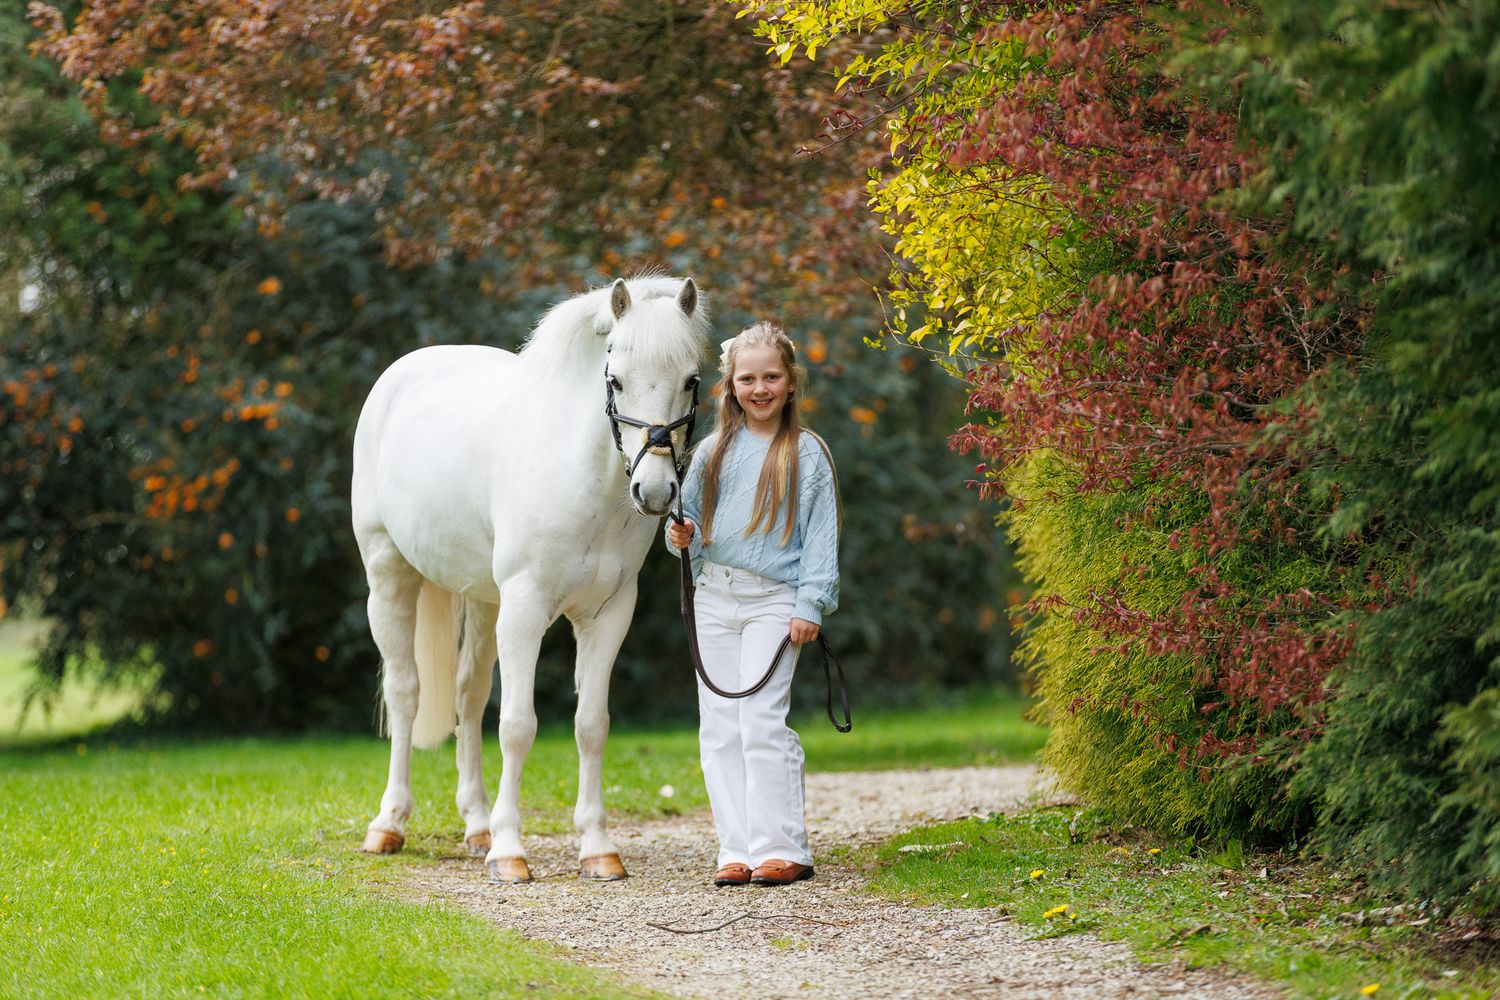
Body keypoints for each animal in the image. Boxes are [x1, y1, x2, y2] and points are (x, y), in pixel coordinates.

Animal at [351, 275, 707, 882]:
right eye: (615, 379)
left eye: (691, 380)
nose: (656, 491)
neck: (582, 478)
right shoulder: (525, 610)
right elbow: (518, 726)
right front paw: (511, 852)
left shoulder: (607, 616)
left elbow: (591, 724)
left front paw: (597, 848)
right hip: (389, 574)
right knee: (405, 693)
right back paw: (389, 825)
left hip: (482, 599)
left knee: (468, 698)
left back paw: (476, 827)